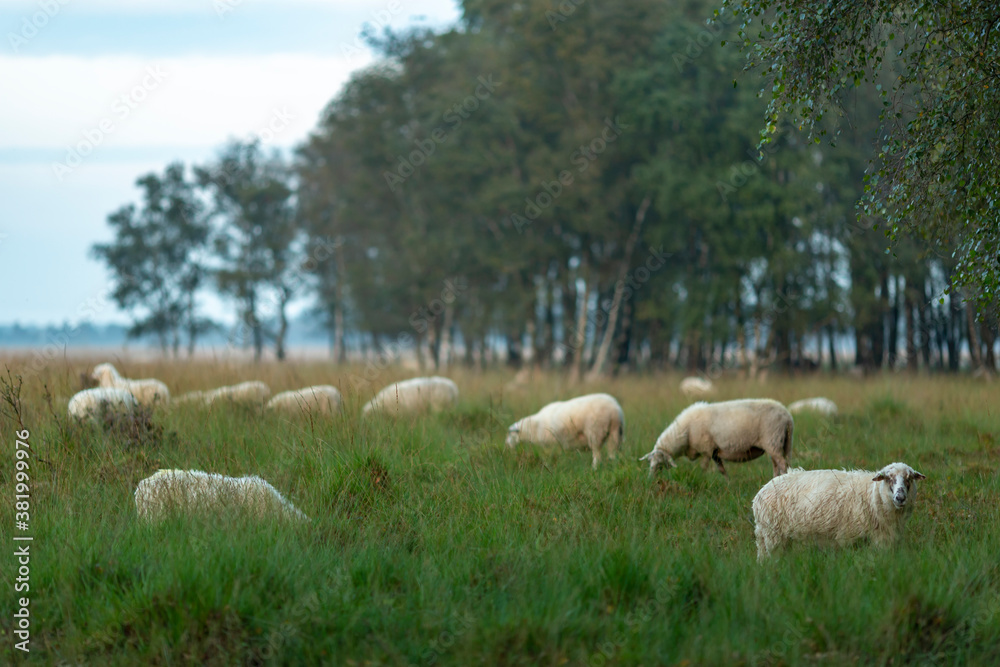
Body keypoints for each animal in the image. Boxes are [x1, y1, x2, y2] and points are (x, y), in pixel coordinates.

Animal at [640, 399, 793, 478]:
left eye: (660, 464)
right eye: (649, 462)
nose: (650, 480)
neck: (685, 432)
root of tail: (788, 416)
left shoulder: (706, 450)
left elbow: (703, 467)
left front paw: (701, 479)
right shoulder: (715, 452)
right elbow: (721, 469)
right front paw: (728, 482)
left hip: (773, 440)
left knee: (782, 464)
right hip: (778, 444)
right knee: (776, 464)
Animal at [752, 462, 927, 560]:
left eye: (909, 478)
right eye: (889, 478)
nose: (900, 497)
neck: (872, 495)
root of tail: (760, 492)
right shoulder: (849, 538)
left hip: (768, 538)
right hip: (773, 535)